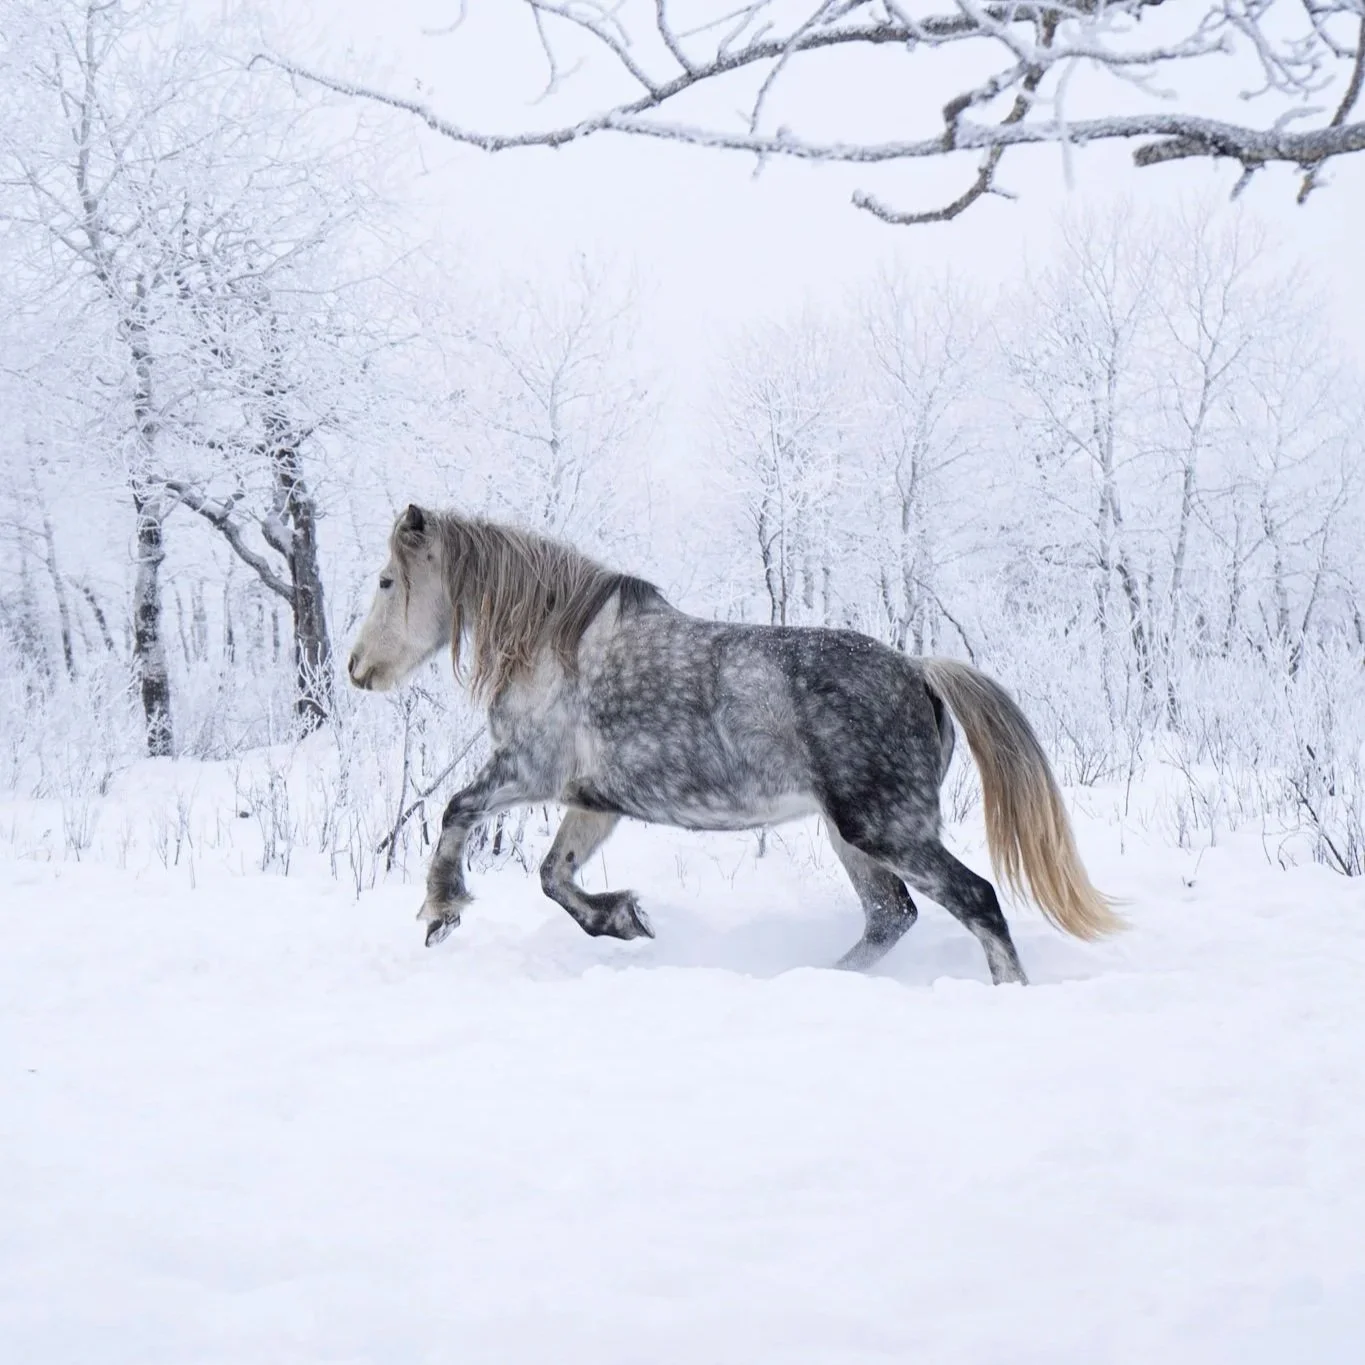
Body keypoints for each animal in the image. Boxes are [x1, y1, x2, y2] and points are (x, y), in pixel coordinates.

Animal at [347, 505, 1120, 983]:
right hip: (854, 835)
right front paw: (625, 918)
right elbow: (553, 875)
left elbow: (456, 810)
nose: (357, 669)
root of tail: (919, 669)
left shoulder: (527, 771)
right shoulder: (593, 801)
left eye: (386, 580)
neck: (557, 646)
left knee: (976, 898)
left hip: (885, 828)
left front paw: (441, 911)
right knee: (890, 914)